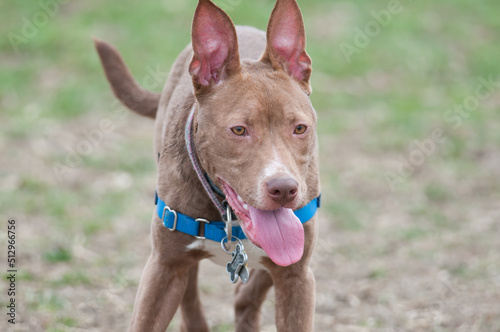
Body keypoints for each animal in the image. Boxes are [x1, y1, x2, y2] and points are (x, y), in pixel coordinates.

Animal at [94, 0, 320, 330]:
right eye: (238, 130)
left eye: (300, 128)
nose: (284, 189)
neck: (227, 216)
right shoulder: (163, 267)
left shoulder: (297, 275)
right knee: (191, 298)